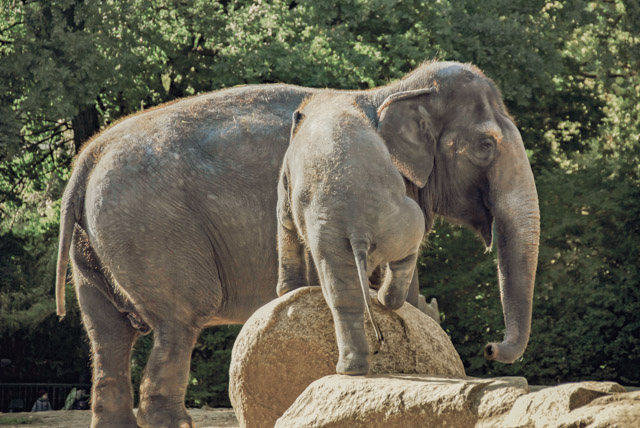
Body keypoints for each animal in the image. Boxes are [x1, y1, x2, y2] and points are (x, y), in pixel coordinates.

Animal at [278, 94, 424, 374]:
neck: (328, 101)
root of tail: (359, 226)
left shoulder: (285, 167)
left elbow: (285, 219)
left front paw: (285, 291)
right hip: (394, 221)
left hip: (337, 233)